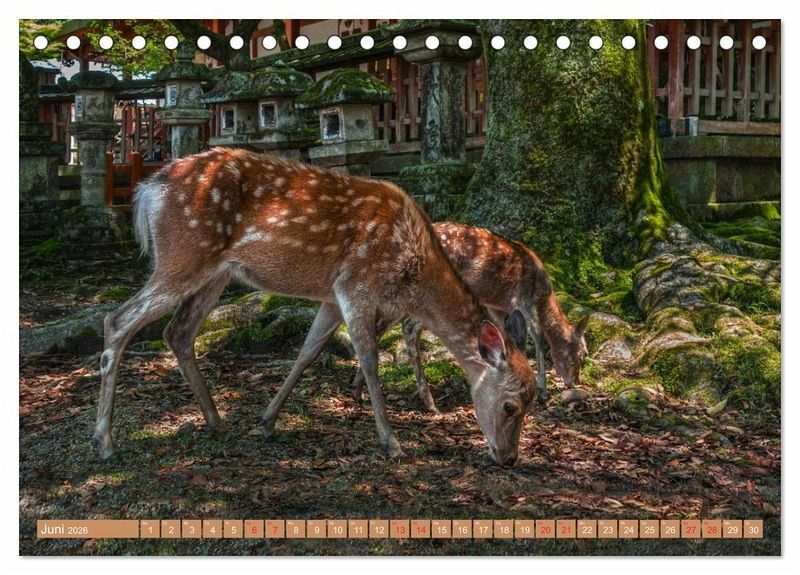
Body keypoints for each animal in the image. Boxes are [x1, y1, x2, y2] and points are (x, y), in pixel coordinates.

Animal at [94, 148, 537, 467]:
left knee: (178, 331)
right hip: (182, 255)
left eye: (533, 403)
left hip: (214, 272)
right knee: (117, 321)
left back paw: (217, 423)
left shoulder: (330, 296)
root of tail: (148, 189)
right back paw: (105, 441)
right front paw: (392, 442)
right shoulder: (356, 284)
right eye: (511, 405)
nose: (509, 458)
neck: (414, 274)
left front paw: (267, 420)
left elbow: (308, 351)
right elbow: (368, 359)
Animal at [350, 222, 590, 412]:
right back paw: (429, 402)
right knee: (408, 327)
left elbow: (502, 335)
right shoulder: (524, 299)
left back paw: (358, 389)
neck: (544, 296)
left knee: (378, 325)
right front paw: (542, 391)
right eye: (581, 354)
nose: (574, 382)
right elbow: (539, 337)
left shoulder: (497, 306)